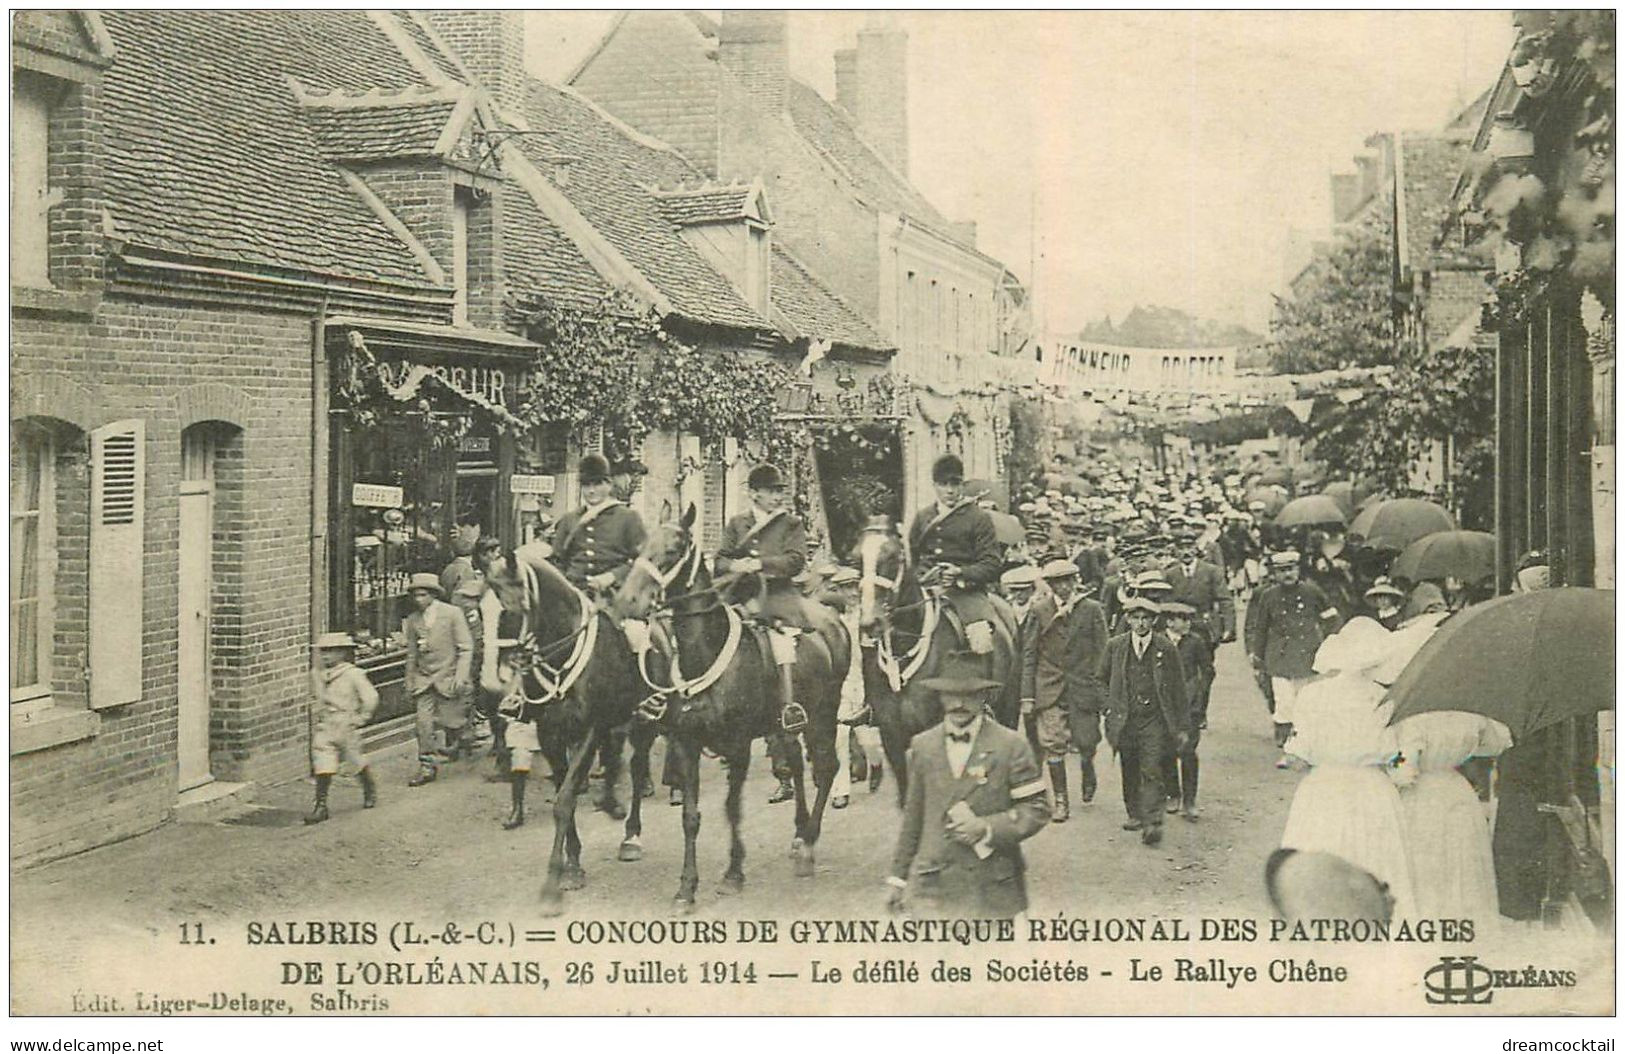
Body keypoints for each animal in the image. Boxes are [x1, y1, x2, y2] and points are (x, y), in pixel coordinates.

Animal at [481, 545, 659, 915]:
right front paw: (572, 866)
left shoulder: (587, 731)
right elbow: (566, 797)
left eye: (509, 607)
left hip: (643, 720)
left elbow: (564, 801)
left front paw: (552, 884)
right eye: (480, 611)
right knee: (618, 754)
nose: (491, 684)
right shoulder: (550, 734)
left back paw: (631, 835)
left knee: (637, 770)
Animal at [611, 506, 851, 909]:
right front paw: (686, 888)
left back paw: (808, 846)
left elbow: (733, 808)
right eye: (642, 546)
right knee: (798, 764)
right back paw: (799, 833)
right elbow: (691, 816)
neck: (706, 653)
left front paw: (733, 874)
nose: (628, 601)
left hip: (824, 714)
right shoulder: (687, 742)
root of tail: (832, 618)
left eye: (673, 549)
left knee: (826, 767)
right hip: (788, 722)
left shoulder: (738, 745)